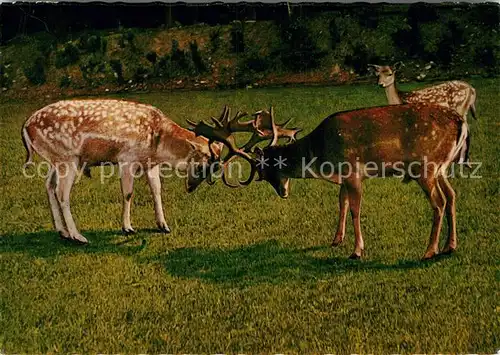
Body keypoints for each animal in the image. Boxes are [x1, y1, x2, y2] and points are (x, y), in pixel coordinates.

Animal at [20, 100, 222, 245]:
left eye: (214, 168)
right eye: (202, 166)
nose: (190, 188)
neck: (159, 145)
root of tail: (26, 127)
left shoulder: (150, 164)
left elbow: (156, 190)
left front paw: (163, 226)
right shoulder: (126, 158)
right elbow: (128, 193)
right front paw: (127, 228)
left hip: (55, 160)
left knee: (49, 185)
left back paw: (62, 232)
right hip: (68, 158)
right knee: (62, 192)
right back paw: (77, 236)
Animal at [190, 104, 468, 260]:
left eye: (264, 171)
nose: (282, 192)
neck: (321, 156)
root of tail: (461, 121)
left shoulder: (353, 170)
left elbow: (355, 209)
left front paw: (357, 251)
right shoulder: (344, 178)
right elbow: (341, 203)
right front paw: (336, 239)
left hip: (425, 166)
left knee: (439, 202)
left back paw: (429, 251)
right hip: (442, 167)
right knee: (452, 196)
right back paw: (450, 246)